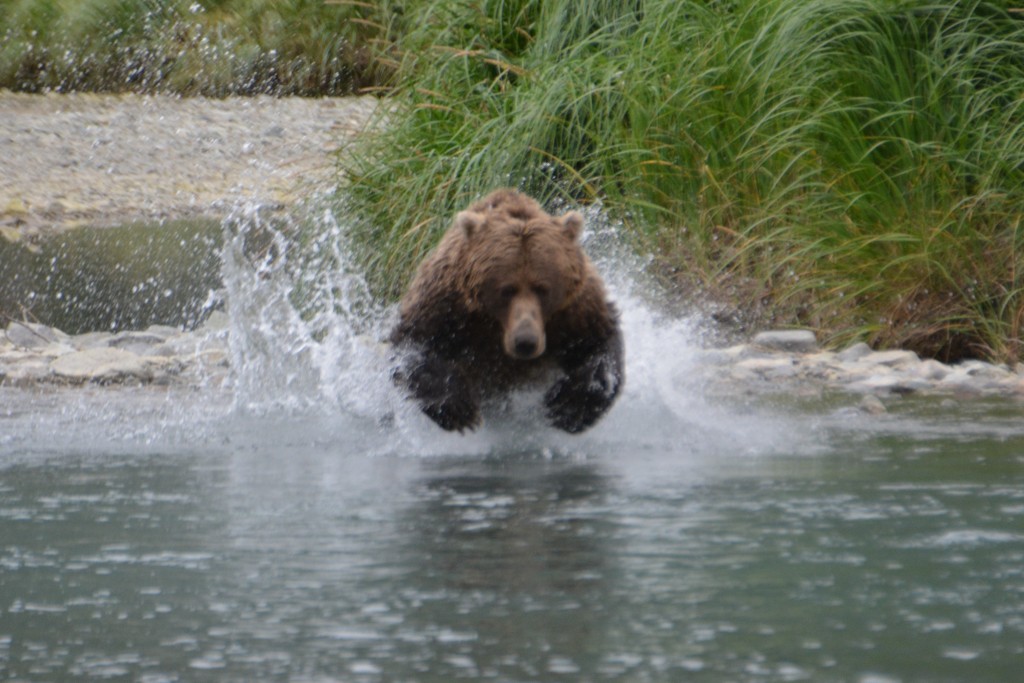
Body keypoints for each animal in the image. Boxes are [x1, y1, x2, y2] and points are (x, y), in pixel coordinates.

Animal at [387, 188, 618, 432]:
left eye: (542, 289)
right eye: (507, 289)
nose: (525, 342)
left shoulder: (575, 309)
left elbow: (599, 343)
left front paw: (569, 406)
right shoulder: (447, 303)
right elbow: (414, 345)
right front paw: (459, 408)